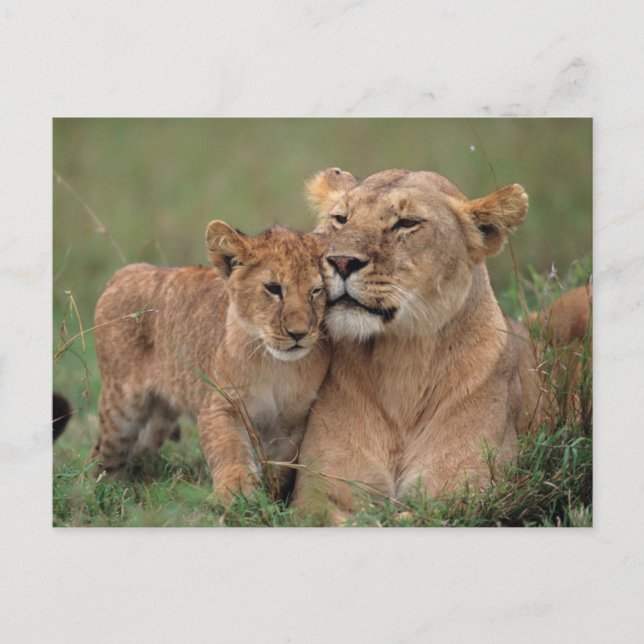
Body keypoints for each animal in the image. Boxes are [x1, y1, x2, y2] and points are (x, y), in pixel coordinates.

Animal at [92, 221, 330, 500]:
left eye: (316, 291)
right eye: (273, 288)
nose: (299, 334)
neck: (277, 365)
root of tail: (124, 272)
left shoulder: (292, 423)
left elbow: (279, 469)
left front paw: (270, 498)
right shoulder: (221, 404)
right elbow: (229, 449)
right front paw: (236, 492)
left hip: (160, 417)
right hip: (121, 408)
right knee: (103, 454)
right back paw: (99, 491)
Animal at [292, 167, 571, 522]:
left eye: (406, 223)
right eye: (341, 219)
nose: (340, 261)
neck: (402, 361)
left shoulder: (469, 490)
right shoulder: (317, 492)